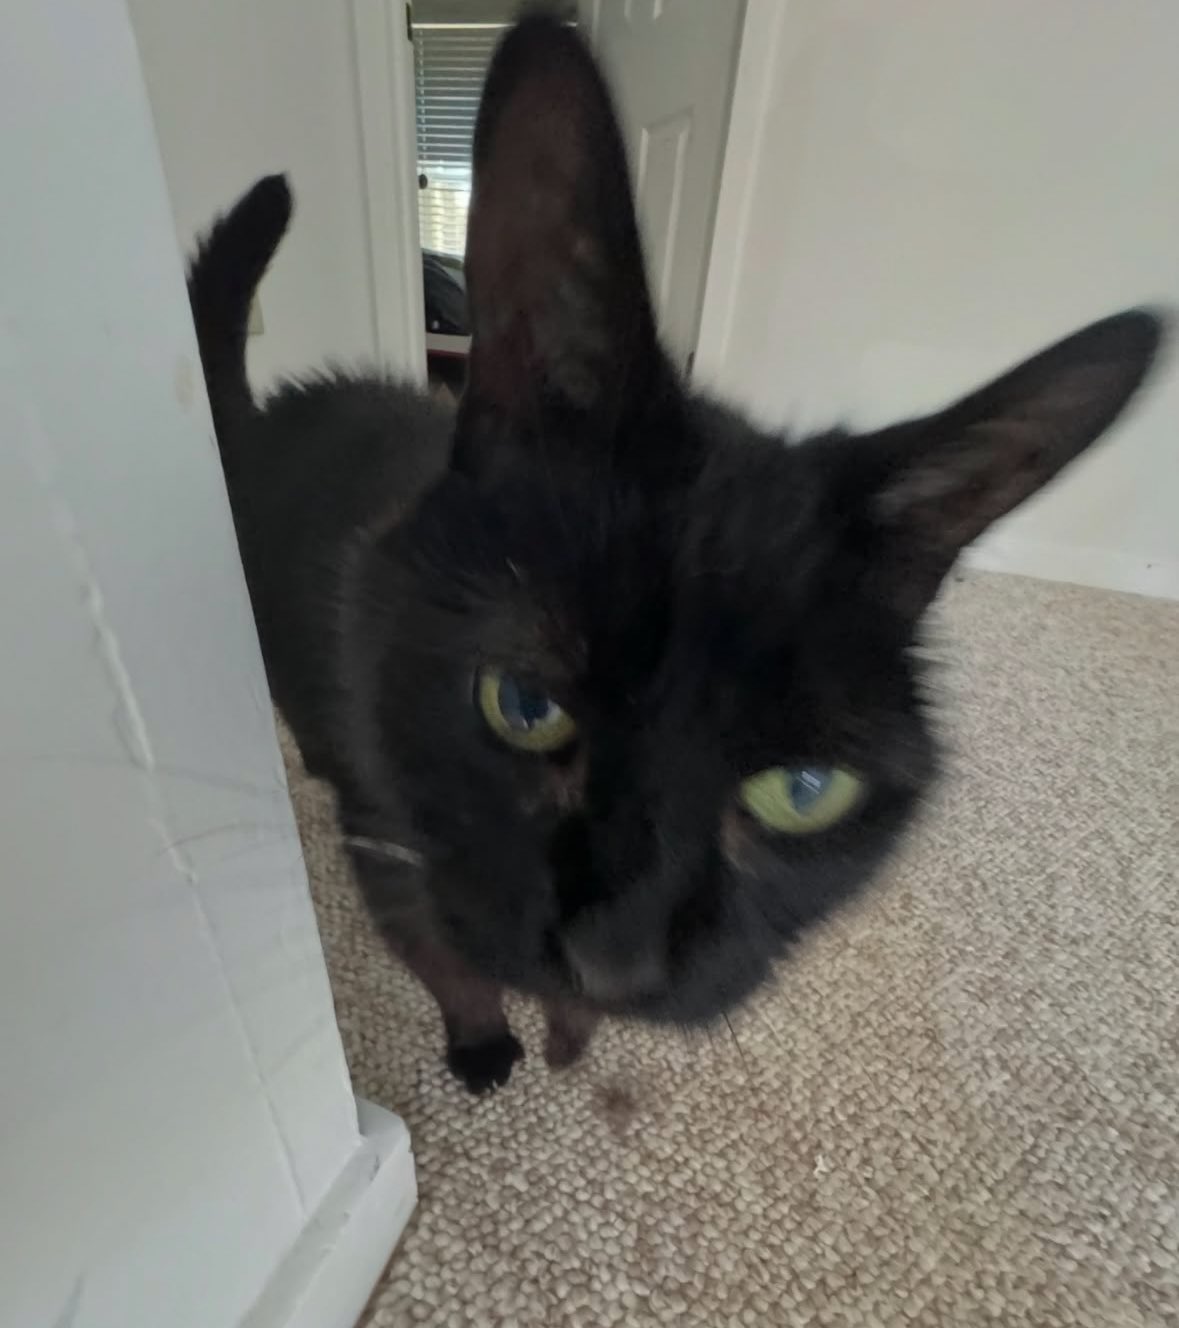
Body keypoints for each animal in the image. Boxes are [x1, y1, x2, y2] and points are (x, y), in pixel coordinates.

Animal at [187, 14, 1162, 1093]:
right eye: (522, 704)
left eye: (803, 793)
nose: (620, 956)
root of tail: (267, 415)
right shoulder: (390, 847)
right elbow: (447, 957)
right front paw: (488, 1038)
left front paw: (574, 1028)